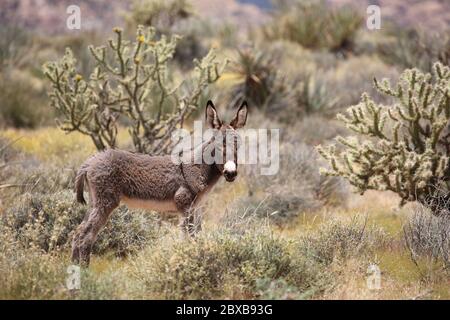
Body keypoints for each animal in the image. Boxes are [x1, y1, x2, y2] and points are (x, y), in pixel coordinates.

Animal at [72, 100, 248, 264]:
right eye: (218, 146)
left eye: (239, 145)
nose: (231, 173)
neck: (199, 166)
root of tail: (89, 162)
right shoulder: (184, 203)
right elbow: (188, 238)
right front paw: (191, 259)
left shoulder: (196, 207)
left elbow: (196, 235)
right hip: (106, 202)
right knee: (86, 236)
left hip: (95, 202)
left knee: (78, 232)